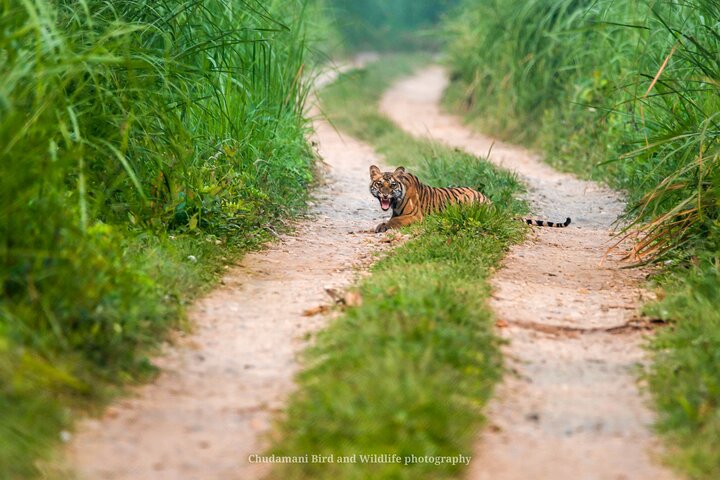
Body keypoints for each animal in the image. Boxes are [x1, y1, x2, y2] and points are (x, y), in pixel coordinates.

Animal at [369, 165, 571, 233]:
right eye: (379, 184)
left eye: (392, 185)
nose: (385, 195)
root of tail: (491, 203)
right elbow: (390, 219)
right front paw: (379, 225)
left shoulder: (414, 216)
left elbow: (394, 222)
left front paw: (382, 227)